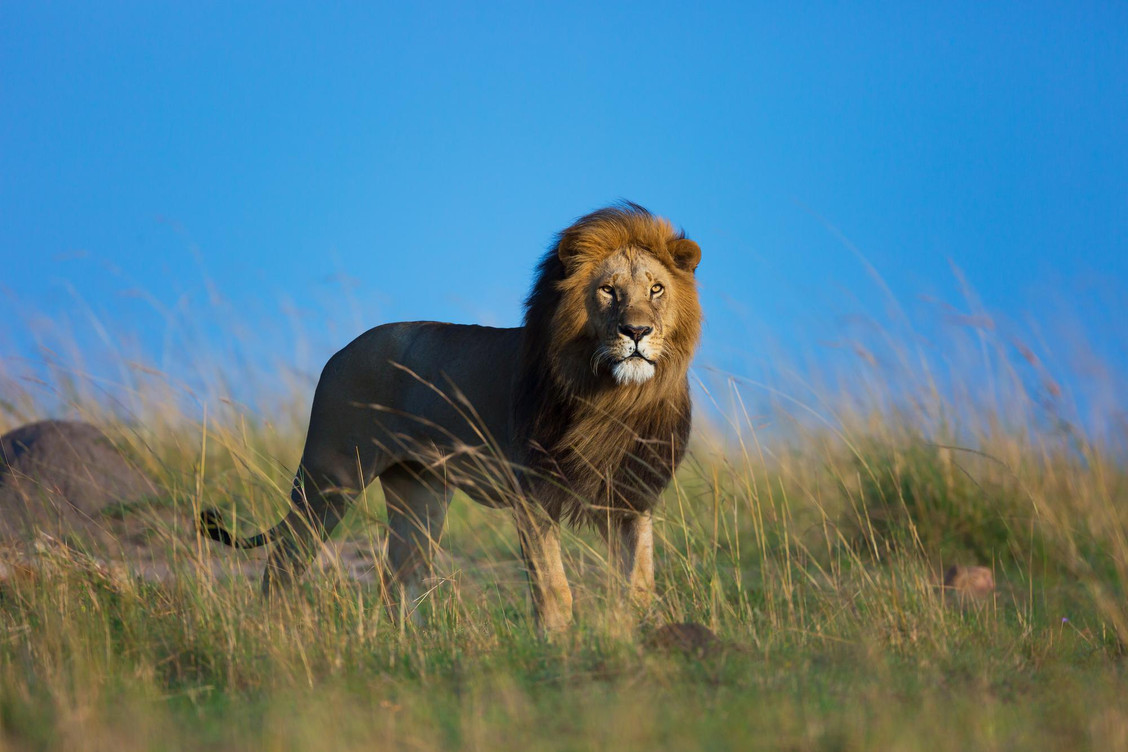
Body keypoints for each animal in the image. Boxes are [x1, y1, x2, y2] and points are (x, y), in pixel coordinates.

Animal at [199, 202, 702, 632]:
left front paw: (636, 637)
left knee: (398, 578)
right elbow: (554, 588)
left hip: (420, 494)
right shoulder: (532, 496)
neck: (616, 398)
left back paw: (411, 649)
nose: (637, 331)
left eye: (656, 289)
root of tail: (343, 351)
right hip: (330, 477)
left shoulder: (632, 495)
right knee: (284, 560)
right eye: (608, 290)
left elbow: (638, 584)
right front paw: (558, 645)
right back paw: (276, 630)